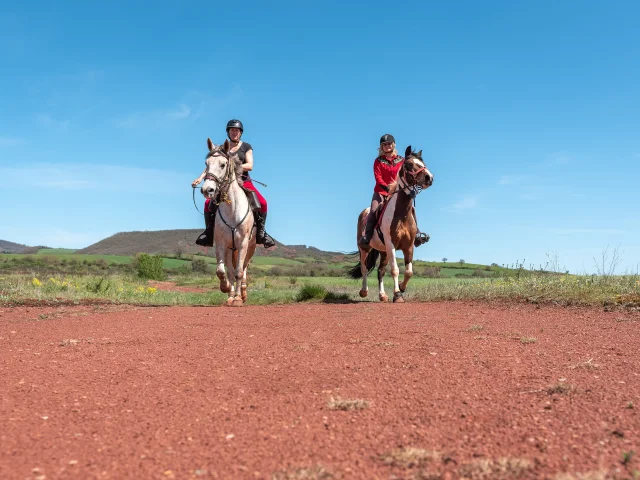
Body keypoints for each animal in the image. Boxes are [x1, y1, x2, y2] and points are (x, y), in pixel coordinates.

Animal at [202, 138, 258, 308]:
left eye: (223, 164)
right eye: (206, 163)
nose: (207, 190)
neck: (232, 209)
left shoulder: (243, 243)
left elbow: (239, 271)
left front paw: (239, 298)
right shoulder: (221, 243)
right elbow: (222, 271)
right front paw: (226, 288)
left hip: (250, 247)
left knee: (244, 268)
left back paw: (243, 293)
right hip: (230, 249)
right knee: (231, 270)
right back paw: (231, 296)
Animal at [350, 146, 436, 304]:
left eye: (423, 162)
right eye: (409, 164)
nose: (429, 178)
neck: (401, 213)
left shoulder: (408, 246)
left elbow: (409, 271)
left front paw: (401, 287)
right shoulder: (391, 245)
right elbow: (395, 269)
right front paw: (397, 294)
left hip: (383, 251)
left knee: (380, 271)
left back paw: (382, 295)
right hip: (364, 248)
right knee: (364, 269)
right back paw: (364, 291)